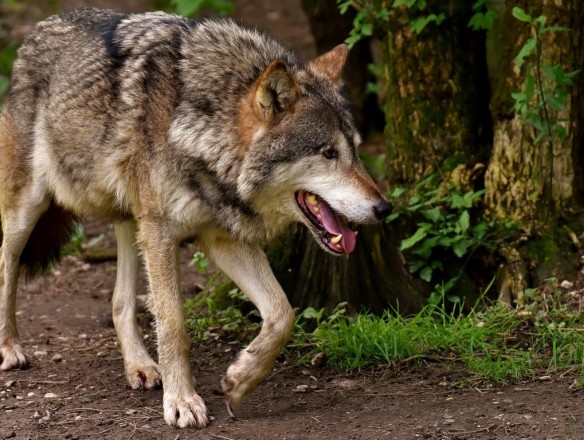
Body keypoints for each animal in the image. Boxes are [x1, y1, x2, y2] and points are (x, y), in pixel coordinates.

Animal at [0, 8, 392, 428]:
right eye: (328, 153)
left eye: (356, 150)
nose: (384, 208)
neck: (200, 128)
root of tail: (39, 28)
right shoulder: (162, 234)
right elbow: (174, 327)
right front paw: (183, 401)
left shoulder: (222, 238)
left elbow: (282, 313)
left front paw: (240, 380)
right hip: (30, 210)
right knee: (6, 264)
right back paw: (10, 348)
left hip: (131, 222)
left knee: (120, 302)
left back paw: (140, 367)